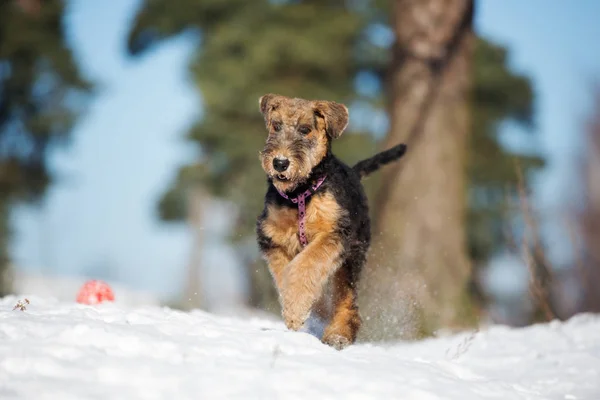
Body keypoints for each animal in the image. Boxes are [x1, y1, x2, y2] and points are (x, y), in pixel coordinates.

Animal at [255, 94, 406, 350]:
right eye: (276, 125)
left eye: (305, 129)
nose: (280, 163)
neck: (302, 193)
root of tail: (355, 173)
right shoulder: (273, 236)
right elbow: (285, 272)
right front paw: (296, 307)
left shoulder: (334, 234)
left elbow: (305, 265)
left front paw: (295, 311)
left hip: (352, 256)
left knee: (346, 299)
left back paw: (338, 334)